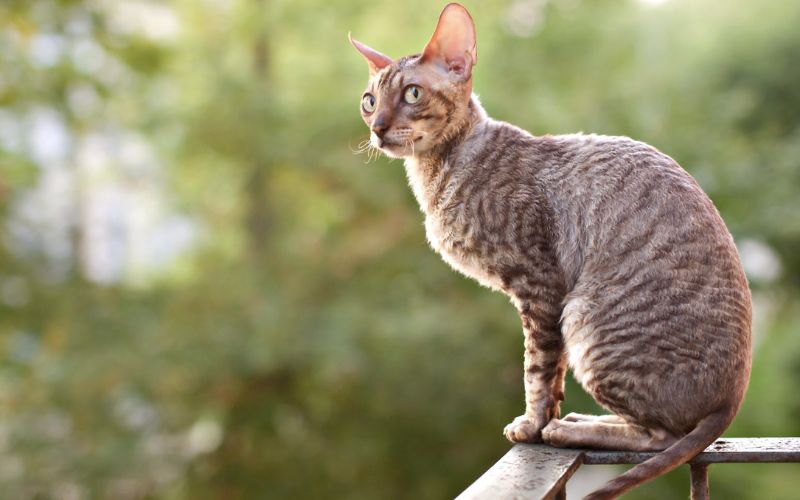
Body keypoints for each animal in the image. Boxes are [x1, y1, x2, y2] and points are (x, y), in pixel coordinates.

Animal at [348, 4, 752, 500]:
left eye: (412, 93)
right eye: (369, 100)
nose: (378, 127)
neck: (437, 174)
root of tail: (731, 401)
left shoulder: (539, 284)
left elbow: (536, 368)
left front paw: (532, 425)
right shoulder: (543, 296)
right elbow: (552, 373)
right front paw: (547, 416)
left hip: (587, 319)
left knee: (662, 436)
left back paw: (572, 429)